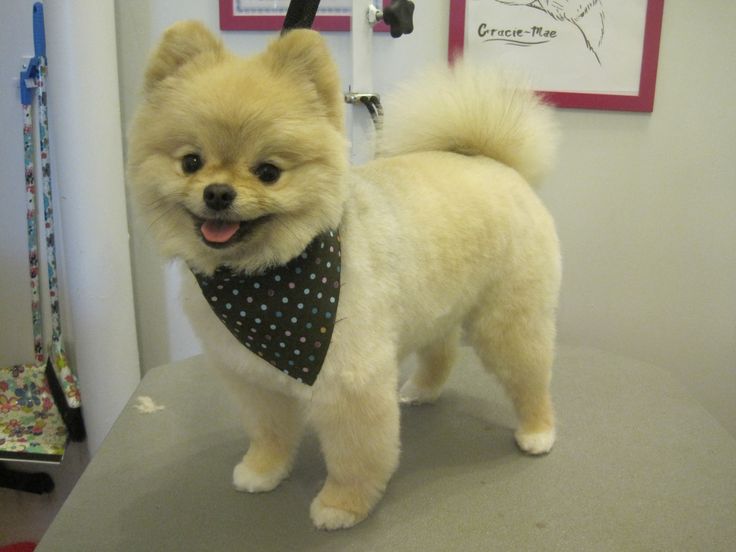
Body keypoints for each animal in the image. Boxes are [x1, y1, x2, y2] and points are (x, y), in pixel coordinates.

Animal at [129, 22, 560, 532]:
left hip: (507, 323)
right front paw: (263, 469)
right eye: (190, 162)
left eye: (269, 172)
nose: (217, 193)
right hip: (437, 305)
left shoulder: (349, 383)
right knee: (443, 349)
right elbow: (270, 433)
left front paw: (343, 504)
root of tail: (494, 162)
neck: (262, 280)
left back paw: (537, 431)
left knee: (529, 376)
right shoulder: (252, 381)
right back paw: (422, 389)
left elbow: (356, 455)